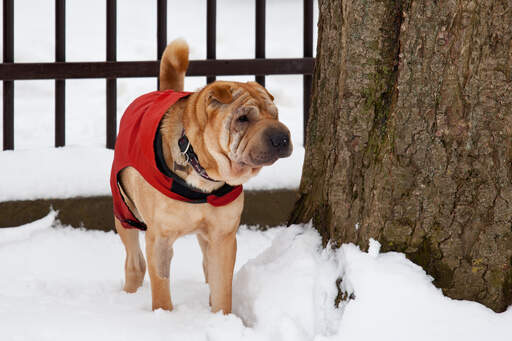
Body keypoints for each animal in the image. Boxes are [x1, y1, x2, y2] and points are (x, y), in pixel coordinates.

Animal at [110, 38, 292, 312]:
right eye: (243, 118)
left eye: (275, 114)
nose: (281, 137)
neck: (205, 173)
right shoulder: (159, 237)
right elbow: (161, 287)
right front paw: (163, 316)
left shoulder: (223, 235)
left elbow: (222, 287)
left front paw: (221, 317)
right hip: (124, 213)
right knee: (134, 262)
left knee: (206, 266)